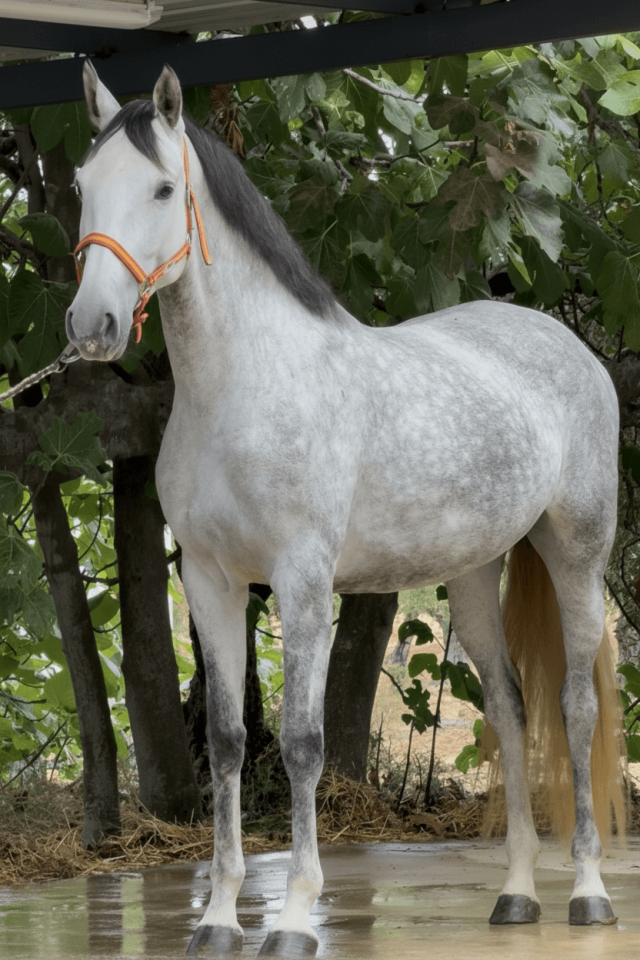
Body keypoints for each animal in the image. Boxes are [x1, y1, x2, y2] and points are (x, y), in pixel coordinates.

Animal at [67, 61, 626, 957]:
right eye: (83, 186)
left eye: (161, 188)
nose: (93, 325)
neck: (243, 389)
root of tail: (565, 345)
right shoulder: (210, 581)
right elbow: (227, 743)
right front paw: (218, 916)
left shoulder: (300, 582)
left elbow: (302, 744)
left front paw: (295, 917)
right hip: (474, 573)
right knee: (509, 706)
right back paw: (513, 893)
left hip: (577, 552)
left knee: (573, 706)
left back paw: (587, 892)